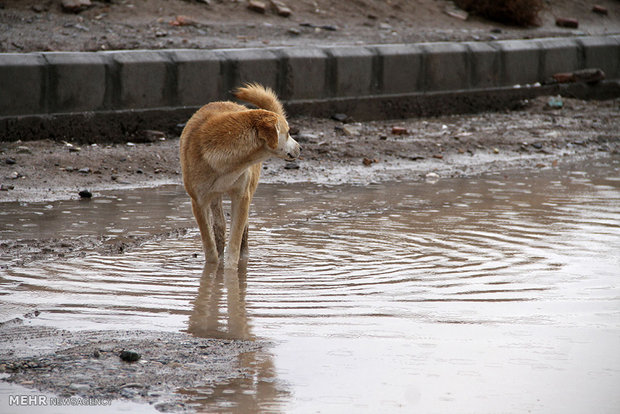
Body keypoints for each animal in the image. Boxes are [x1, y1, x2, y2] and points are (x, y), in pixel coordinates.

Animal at [179, 85, 300, 270]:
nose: (300, 148)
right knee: (219, 226)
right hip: (214, 197)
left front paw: (230, 271)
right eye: (287, 133)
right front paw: (213, 269)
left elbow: (235, 243)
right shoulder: (198, 202)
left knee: (244, 230)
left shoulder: (241, 196)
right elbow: (209, 245)